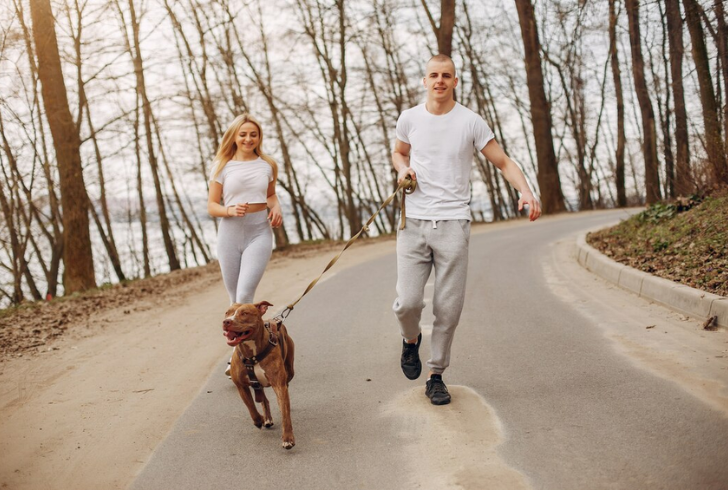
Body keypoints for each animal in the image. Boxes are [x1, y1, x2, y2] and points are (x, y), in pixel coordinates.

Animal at [222, 300, 296, 450]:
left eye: (244, 313)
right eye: (227, 313)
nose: (226, 321)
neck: (252, 356)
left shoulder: (279, 385)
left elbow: (285, 413)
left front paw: (288, 439)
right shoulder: (241, 387)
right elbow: (251, 408)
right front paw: (260, 419)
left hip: (289, 371)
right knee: (263, 399)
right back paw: (266, 419)